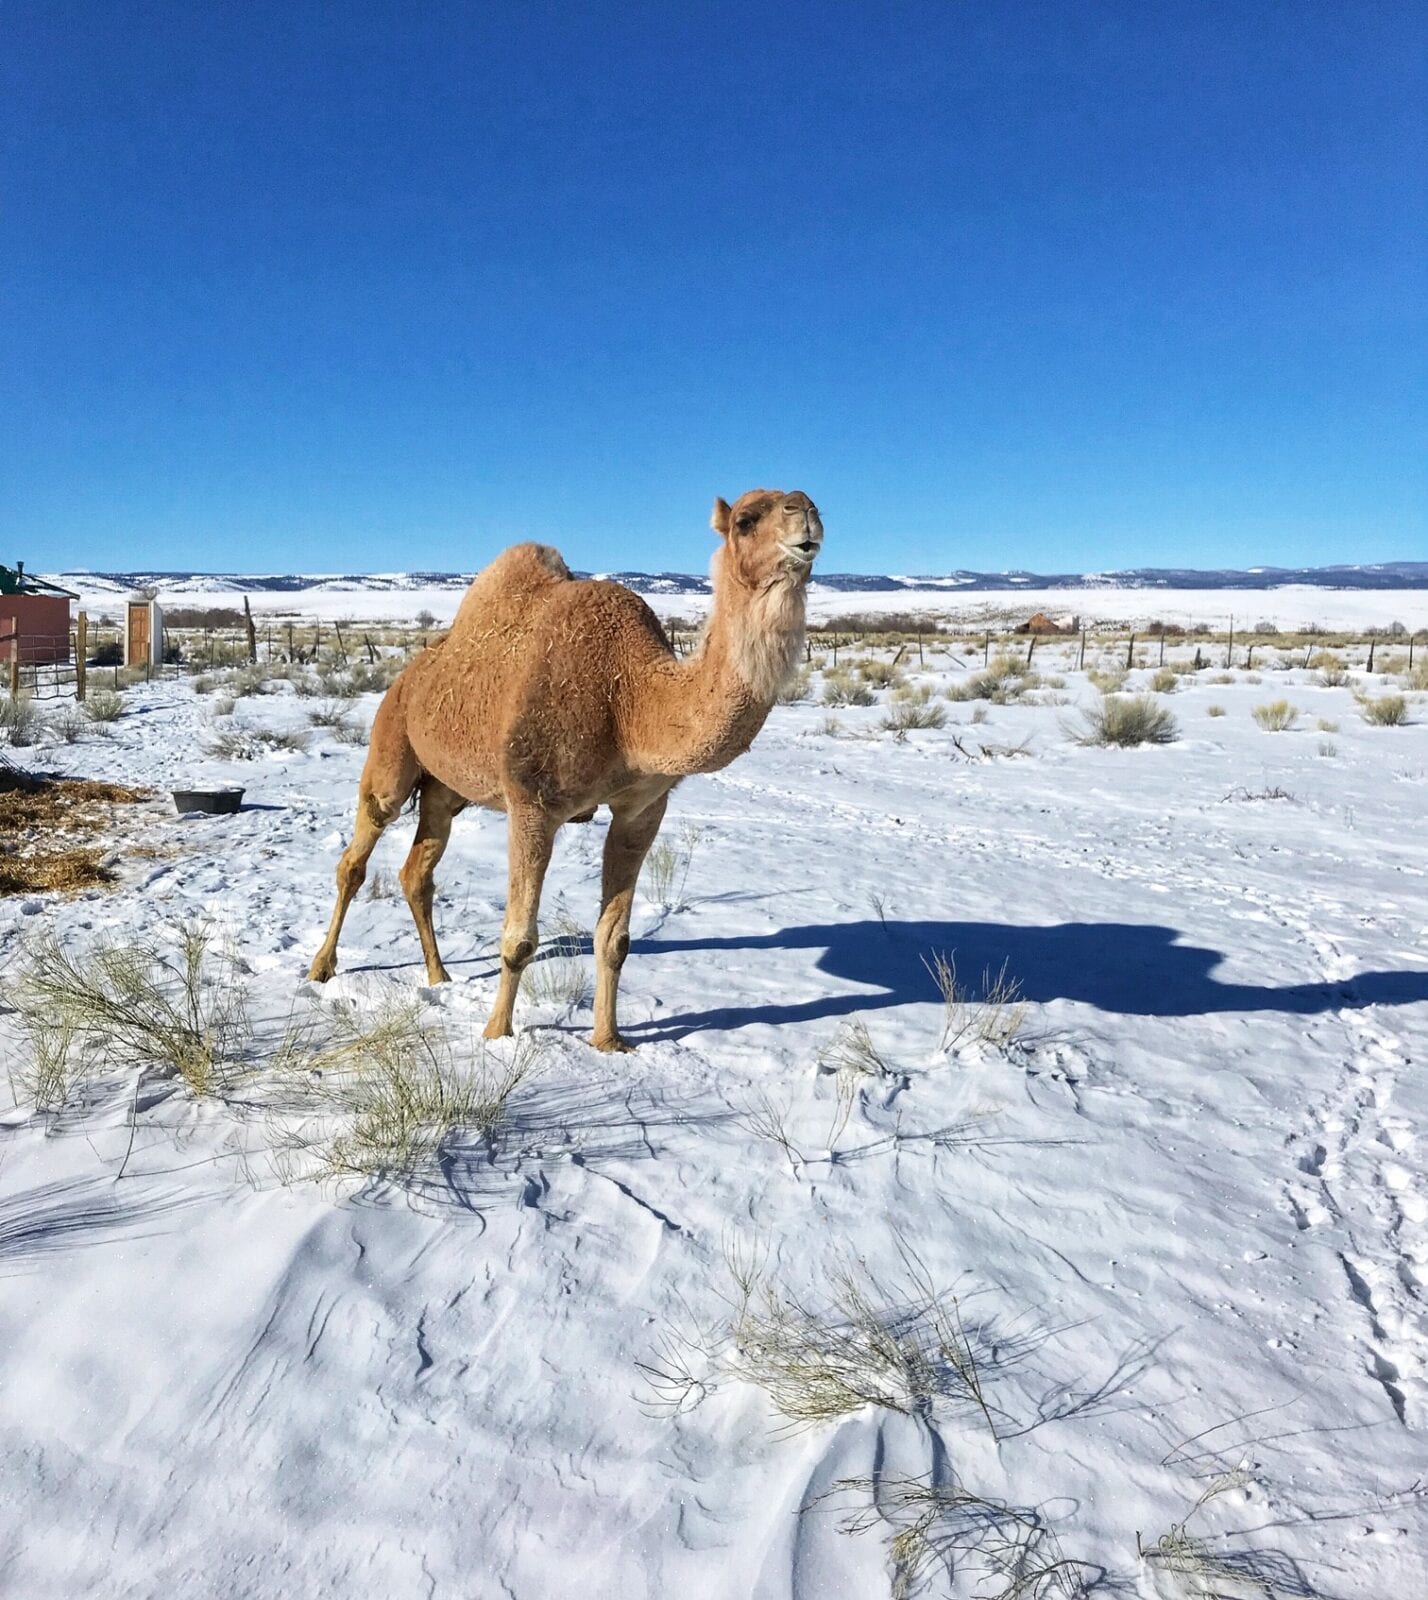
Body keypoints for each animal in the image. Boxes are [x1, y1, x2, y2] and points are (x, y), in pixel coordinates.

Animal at [308, 492, 826, 1056]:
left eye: (808, 505)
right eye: (746, 521)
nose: (806, 514)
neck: (629, 700)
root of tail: (410, 673)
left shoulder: (641, 810)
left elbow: (615, 939)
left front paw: (609, 1041)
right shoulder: (532, 802)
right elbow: (519, 939)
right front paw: (497, 1035)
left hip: (446, 788)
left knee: (416, 872)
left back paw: (439, 975)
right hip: (392, 750)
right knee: (356, 858)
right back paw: (321, 969)